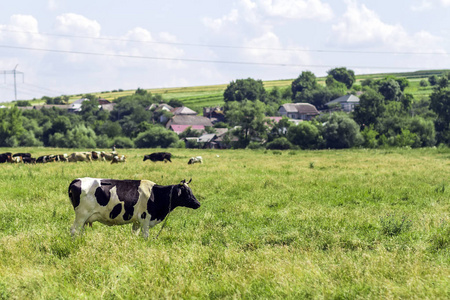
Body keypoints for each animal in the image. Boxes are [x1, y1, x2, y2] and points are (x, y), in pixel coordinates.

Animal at [67, 177, 200, 238]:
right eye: (187, 193)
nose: (198, 203)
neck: (155, 194)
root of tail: (77, 180)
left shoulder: (137, 222)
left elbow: (134, 235)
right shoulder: (145, 219)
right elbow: (145, 236)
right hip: (81, 215)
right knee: (74, 230)